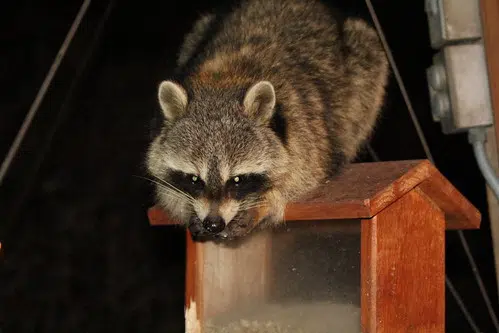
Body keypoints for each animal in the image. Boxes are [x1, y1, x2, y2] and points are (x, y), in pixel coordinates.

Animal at [146, 0, 388, 239]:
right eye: (194, 179)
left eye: (237, 180)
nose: (213, 224)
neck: (224, 81)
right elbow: (163, 183)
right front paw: (185, 207)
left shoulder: (303, 123)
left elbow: (304, 176)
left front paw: (266, 202)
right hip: (198, 32)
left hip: (363, 54)